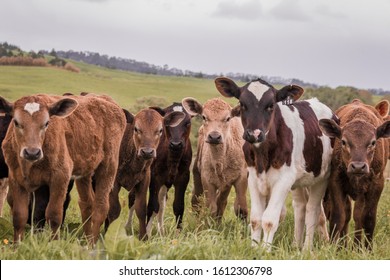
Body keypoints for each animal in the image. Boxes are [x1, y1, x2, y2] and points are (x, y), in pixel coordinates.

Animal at [0, 93, 125, 243]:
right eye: (16, 122)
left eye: (46, 123)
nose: (32, 152)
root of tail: (103, 98)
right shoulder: (15, 178)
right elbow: (19, 216)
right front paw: (17, 245)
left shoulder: (61, 176)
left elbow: (54, 215)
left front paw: (53, 243)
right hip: (84, 171)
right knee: (87, 204)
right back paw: (86, 241)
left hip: (108, 166)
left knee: (101, 207)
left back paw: (93, 244)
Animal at [105, 108, 184, 240]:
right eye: (136, 128)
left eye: (160, 130)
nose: (147, 152)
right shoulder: (113, 183)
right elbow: (114, 209)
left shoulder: (144, 180)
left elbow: (141, 209)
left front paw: (143, 237)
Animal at [318, 99, 388, 248]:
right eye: (344, 141)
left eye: (373, 142)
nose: (358, 167)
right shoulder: (336, 182)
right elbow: (339, 217)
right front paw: (336, 247)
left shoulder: (376, 184)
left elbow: (368, 218)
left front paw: (367, 249)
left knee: (358, 217)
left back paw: (356, 246)